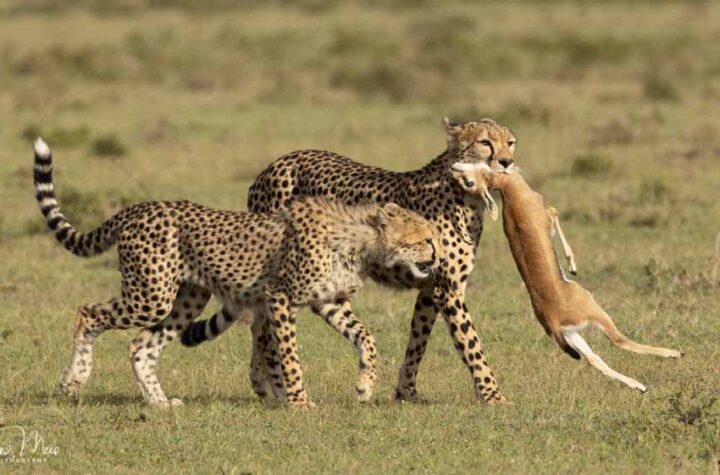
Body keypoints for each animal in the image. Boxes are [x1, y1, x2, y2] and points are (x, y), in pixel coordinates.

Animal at [32, 138, 441, 408]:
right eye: (424, 238)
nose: (438, 258)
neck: (360, 238)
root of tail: (139, 207)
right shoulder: (279, 296)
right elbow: (289, 354)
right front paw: (299, 401)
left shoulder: (329, 301)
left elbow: (366, 338)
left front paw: (365, 385)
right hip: (149, 296)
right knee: (88, 314)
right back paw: (73, 381)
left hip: (186, 299)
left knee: (141, 345)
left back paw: (159, 403)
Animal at [184, 117, 517, 404]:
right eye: (485, 142)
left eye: (510, 142)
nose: (507, 162)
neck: (463, 197)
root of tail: (274, 164)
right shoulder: (447, 289)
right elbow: (471, 342)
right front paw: (494, 395)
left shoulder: (430, 288)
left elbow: (418, 339)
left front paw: (406, 392)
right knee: (264, 325)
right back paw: (273, 385)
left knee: (259, 322)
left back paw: (262, 381)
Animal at [450, 162, 683, 392]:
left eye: (467, 182)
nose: (453, 168)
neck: (509, 190)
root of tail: (552, 319)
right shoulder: (548, 217)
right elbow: (555, 212)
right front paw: (572, 266)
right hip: (596, 313)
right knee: (618, 340)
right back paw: (674, 354)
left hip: (572, 336)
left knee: (593, 359)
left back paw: (639, 385)